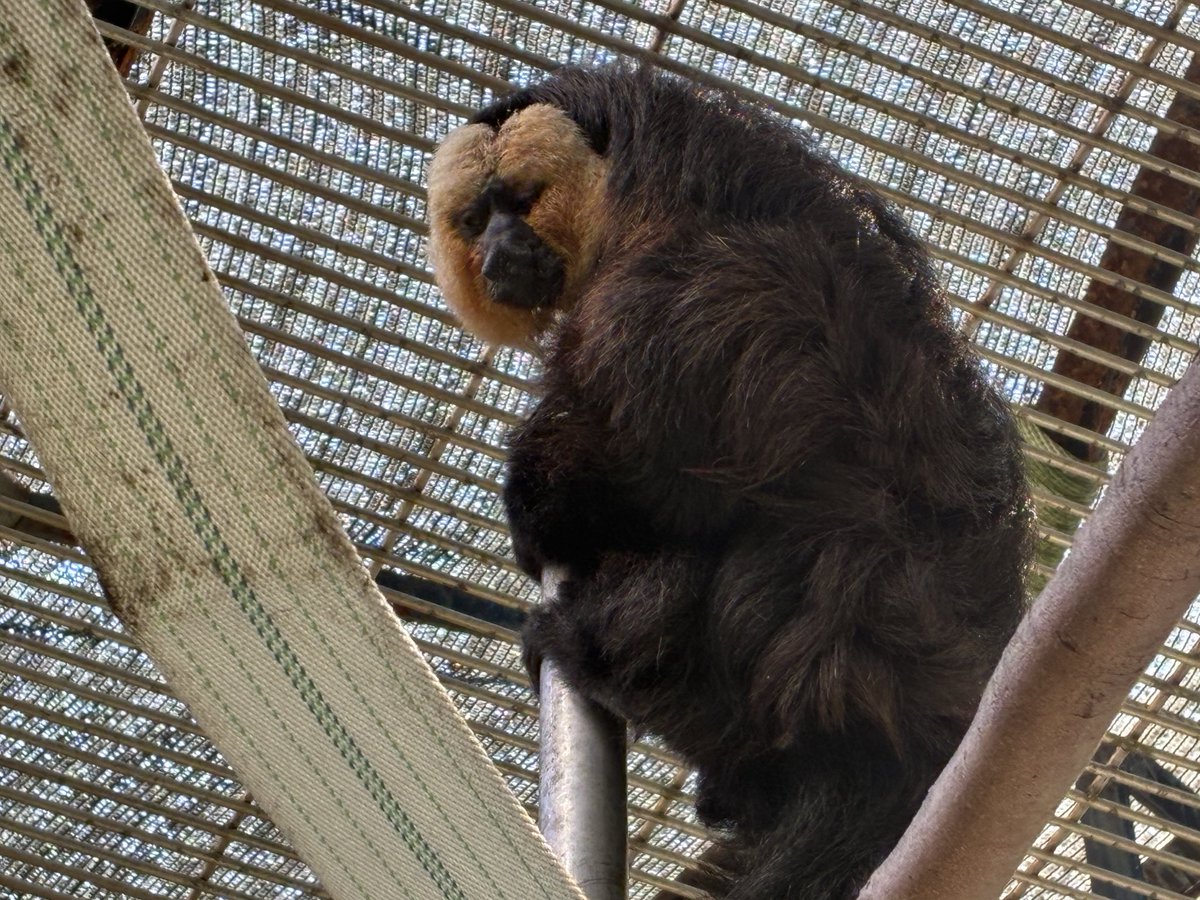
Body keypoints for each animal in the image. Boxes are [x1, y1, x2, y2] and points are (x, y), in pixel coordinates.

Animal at [426, 65, 1034, 900]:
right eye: (475, 216)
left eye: (520, 200)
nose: (498, 247)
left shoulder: (673, 292)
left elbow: (661, 463)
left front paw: (539, 504)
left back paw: (598, 650)